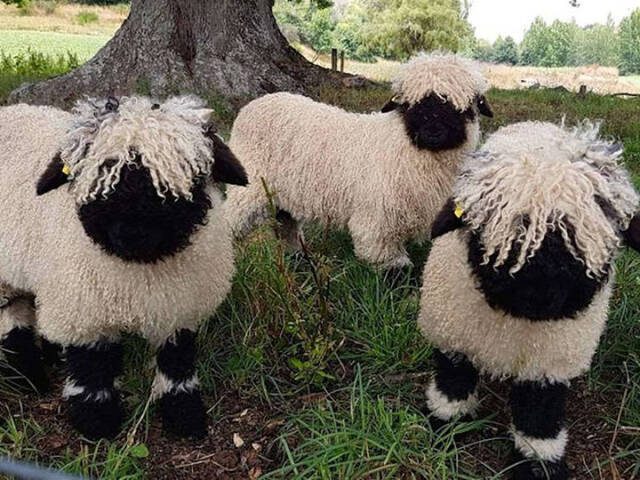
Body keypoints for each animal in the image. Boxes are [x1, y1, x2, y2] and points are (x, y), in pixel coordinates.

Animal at [0, 95, 248, 440]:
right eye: (98, 175)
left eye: (185, 178)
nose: (132, 233)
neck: (140, 270)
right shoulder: (85, 311)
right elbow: (92, 368)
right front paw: (97, 422)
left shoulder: (180, 306)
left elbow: (177, 362)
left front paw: (184, 415)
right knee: (12, 321)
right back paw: (27, 378)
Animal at [224, 52, 493, 269]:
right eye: (409, 105)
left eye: (463, 107)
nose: (433, 131)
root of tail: (257, 103)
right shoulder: (377, 221)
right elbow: (391, 267)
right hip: (250, 187)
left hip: (283, 193)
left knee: (285, 225)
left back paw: (299, 260)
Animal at [418, 121, 640, 480]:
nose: (542, 295)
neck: (515, 320)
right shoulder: (452, 335)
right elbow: (453, 380)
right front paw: (446, 426)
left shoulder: (549, 363)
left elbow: (539, 412)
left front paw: (539, 464)